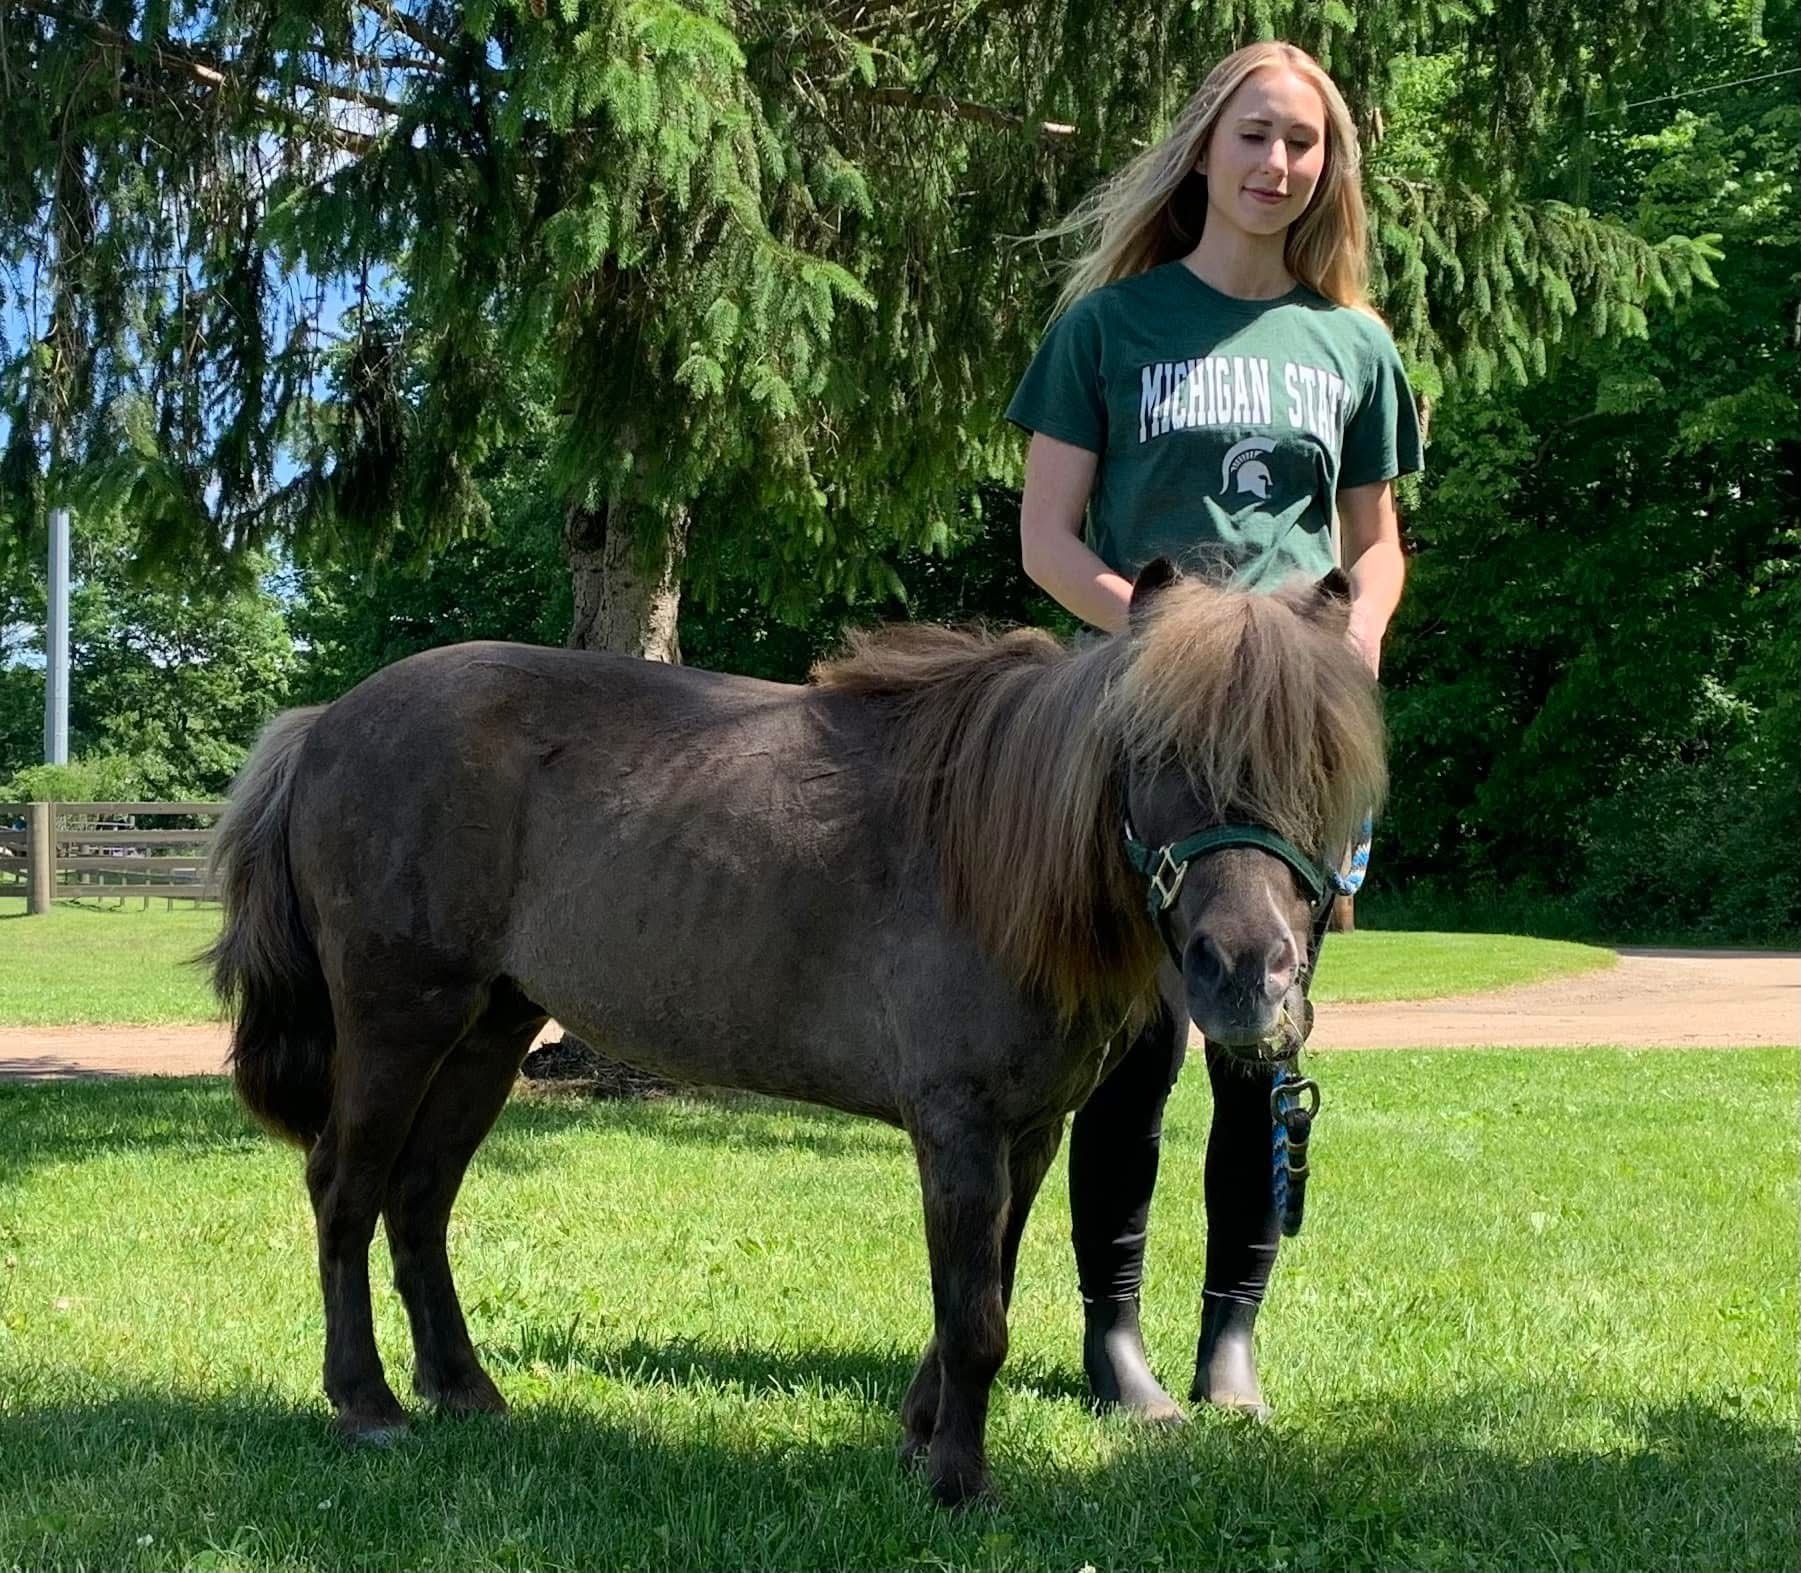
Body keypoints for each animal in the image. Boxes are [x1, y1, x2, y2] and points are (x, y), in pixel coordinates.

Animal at [206, 558, 1385, 1506]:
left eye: (1328, 767)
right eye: (1154, 750)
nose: (1248, 977)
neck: (991, 855)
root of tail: (327, 724)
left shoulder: (1031, 1131)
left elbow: (978, 1294)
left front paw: (919, 1440)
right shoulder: (958, 1125)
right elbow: (977, 1317)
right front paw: (959, 1482)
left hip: (490, 1030)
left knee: (418, 1201)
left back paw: (463, 1389)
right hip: (399, 1020)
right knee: (345, 1191)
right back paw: (366, 1403)